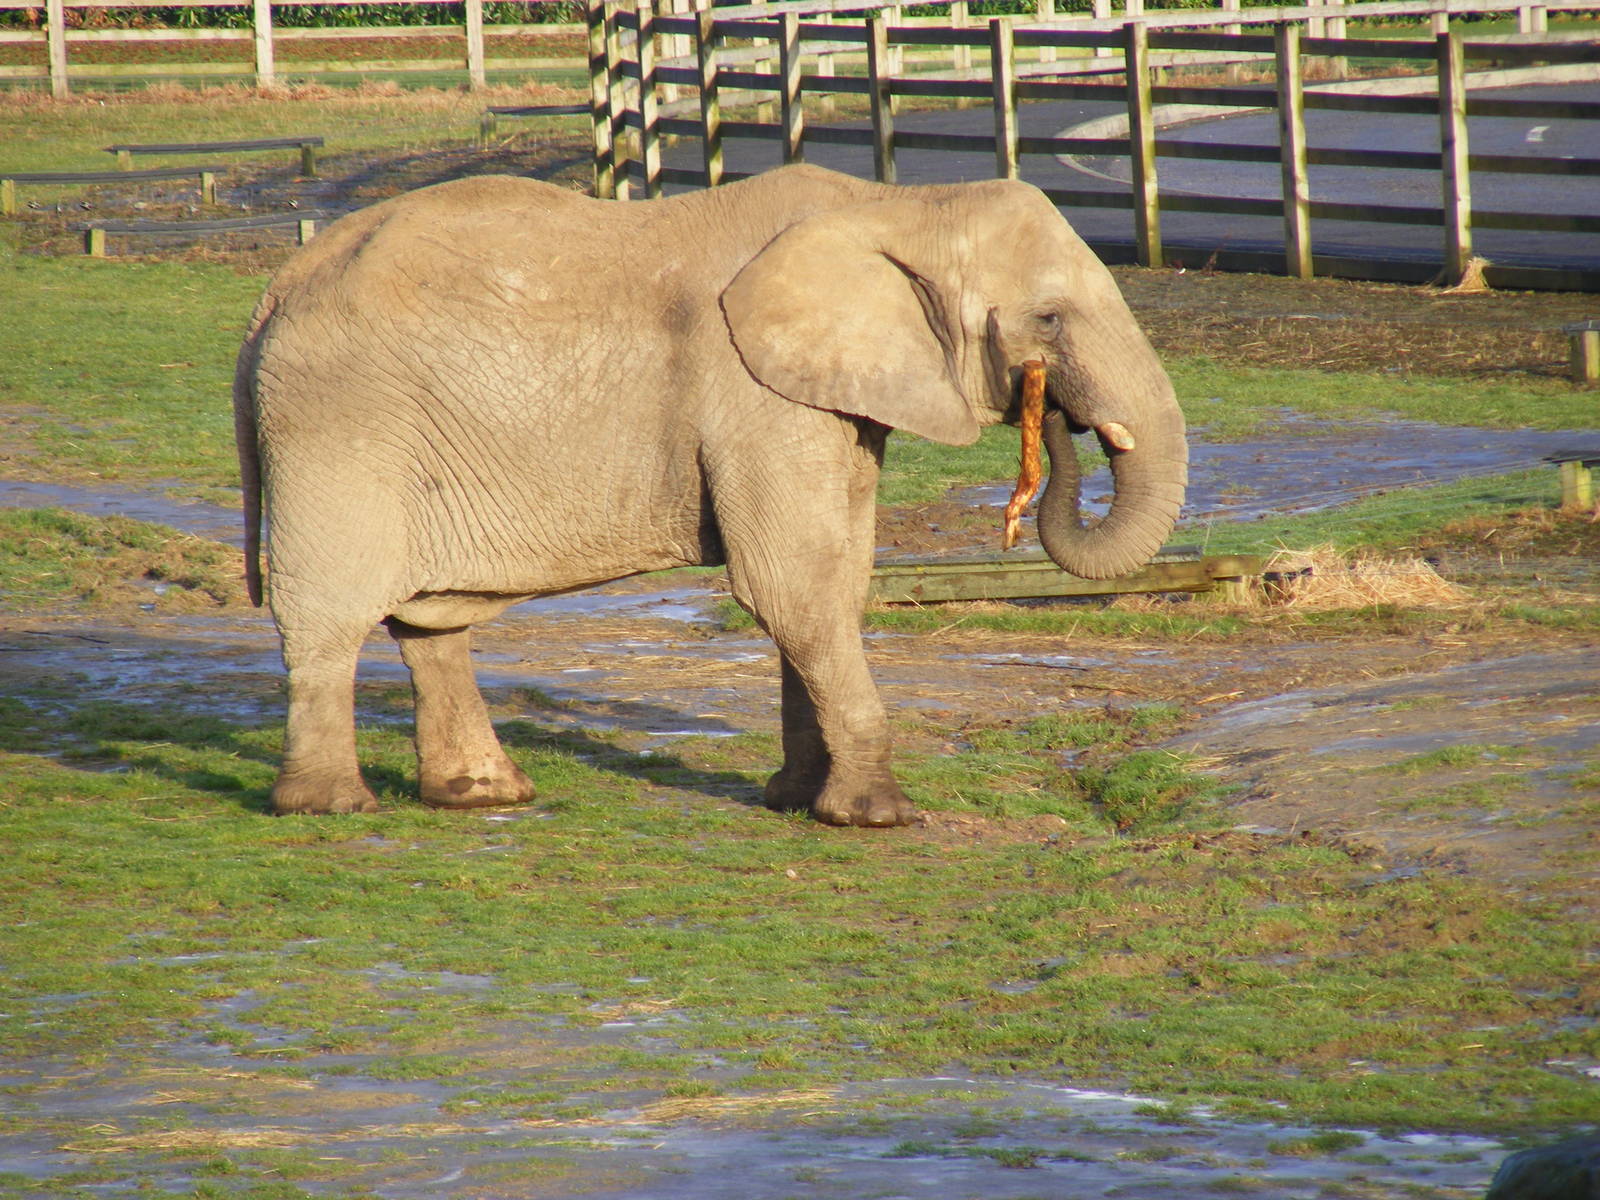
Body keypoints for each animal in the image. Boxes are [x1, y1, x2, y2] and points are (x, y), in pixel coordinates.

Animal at [233, 163, 1187, 826]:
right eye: (1051, 319)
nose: (1053, 413)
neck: (895, 202)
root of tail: (274, 292)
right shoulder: (750, 390)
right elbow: (791, 584)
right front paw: (879, 817)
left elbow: (836, 582)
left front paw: (794, 800)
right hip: (336, 424)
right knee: (329, 614)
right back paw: (332, 806)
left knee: (432, 620)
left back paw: (485, 795)